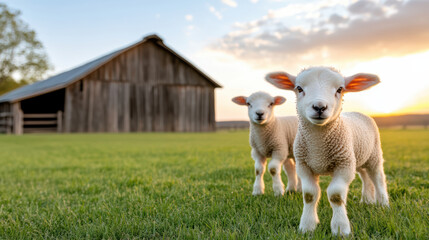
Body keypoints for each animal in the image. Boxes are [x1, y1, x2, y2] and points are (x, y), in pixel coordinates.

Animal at [264, 67, 388, 236]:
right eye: (299, 88)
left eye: (340, 89)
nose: (319, 107)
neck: (318, 149)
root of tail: (358, 112)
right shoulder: (304, 166)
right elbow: (310, 195)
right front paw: (307, 226)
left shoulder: (344, 165)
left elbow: (335, 195)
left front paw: (340, 228)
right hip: (358, 157)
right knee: (365, 177)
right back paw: (367, 201)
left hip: (374, 155)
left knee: (378, 177)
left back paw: (383, 204)